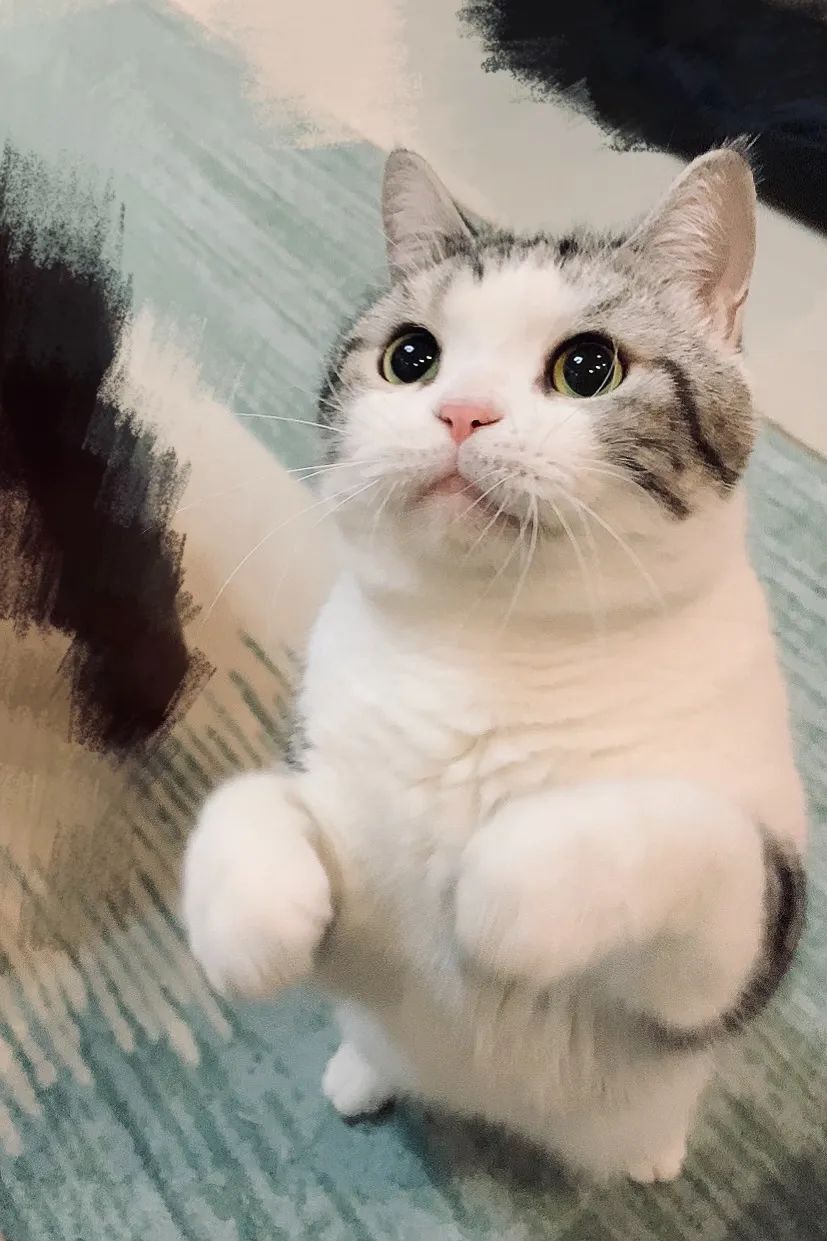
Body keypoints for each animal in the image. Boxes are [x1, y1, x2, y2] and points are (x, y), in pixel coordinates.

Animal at [182, 146, 808, 1182]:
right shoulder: (348, 846)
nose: (461, 413)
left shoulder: (734, 954)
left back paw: (651, 1152)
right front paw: (249, 916)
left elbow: (689, 834)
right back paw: (360, 1074)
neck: (492, 645)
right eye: (410, 356)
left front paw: (510, 887)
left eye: (588, 366)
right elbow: (252, 799)